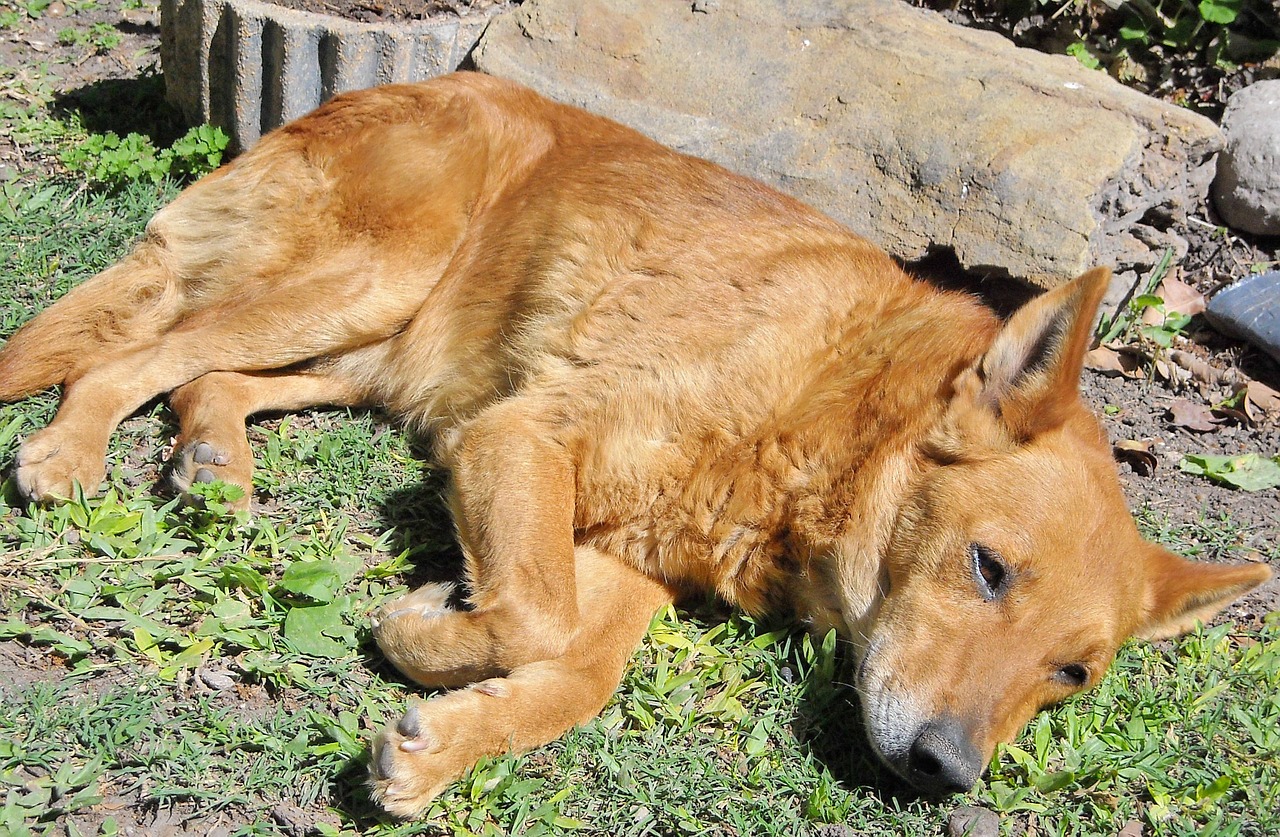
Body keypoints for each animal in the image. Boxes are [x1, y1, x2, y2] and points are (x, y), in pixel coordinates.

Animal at [0, 72, 1264, 819]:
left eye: (1070, 675)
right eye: (987, 568)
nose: (943, 775)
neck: (834, 404)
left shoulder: (624, 557)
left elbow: (575, 668)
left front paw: (443, 734)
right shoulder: (521, 437)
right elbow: (533, 618)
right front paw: (425, 632)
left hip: (372, 352)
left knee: (204, 375)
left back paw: (215, 463)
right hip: (367, 283)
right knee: (128, 355)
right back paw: (68, 455)